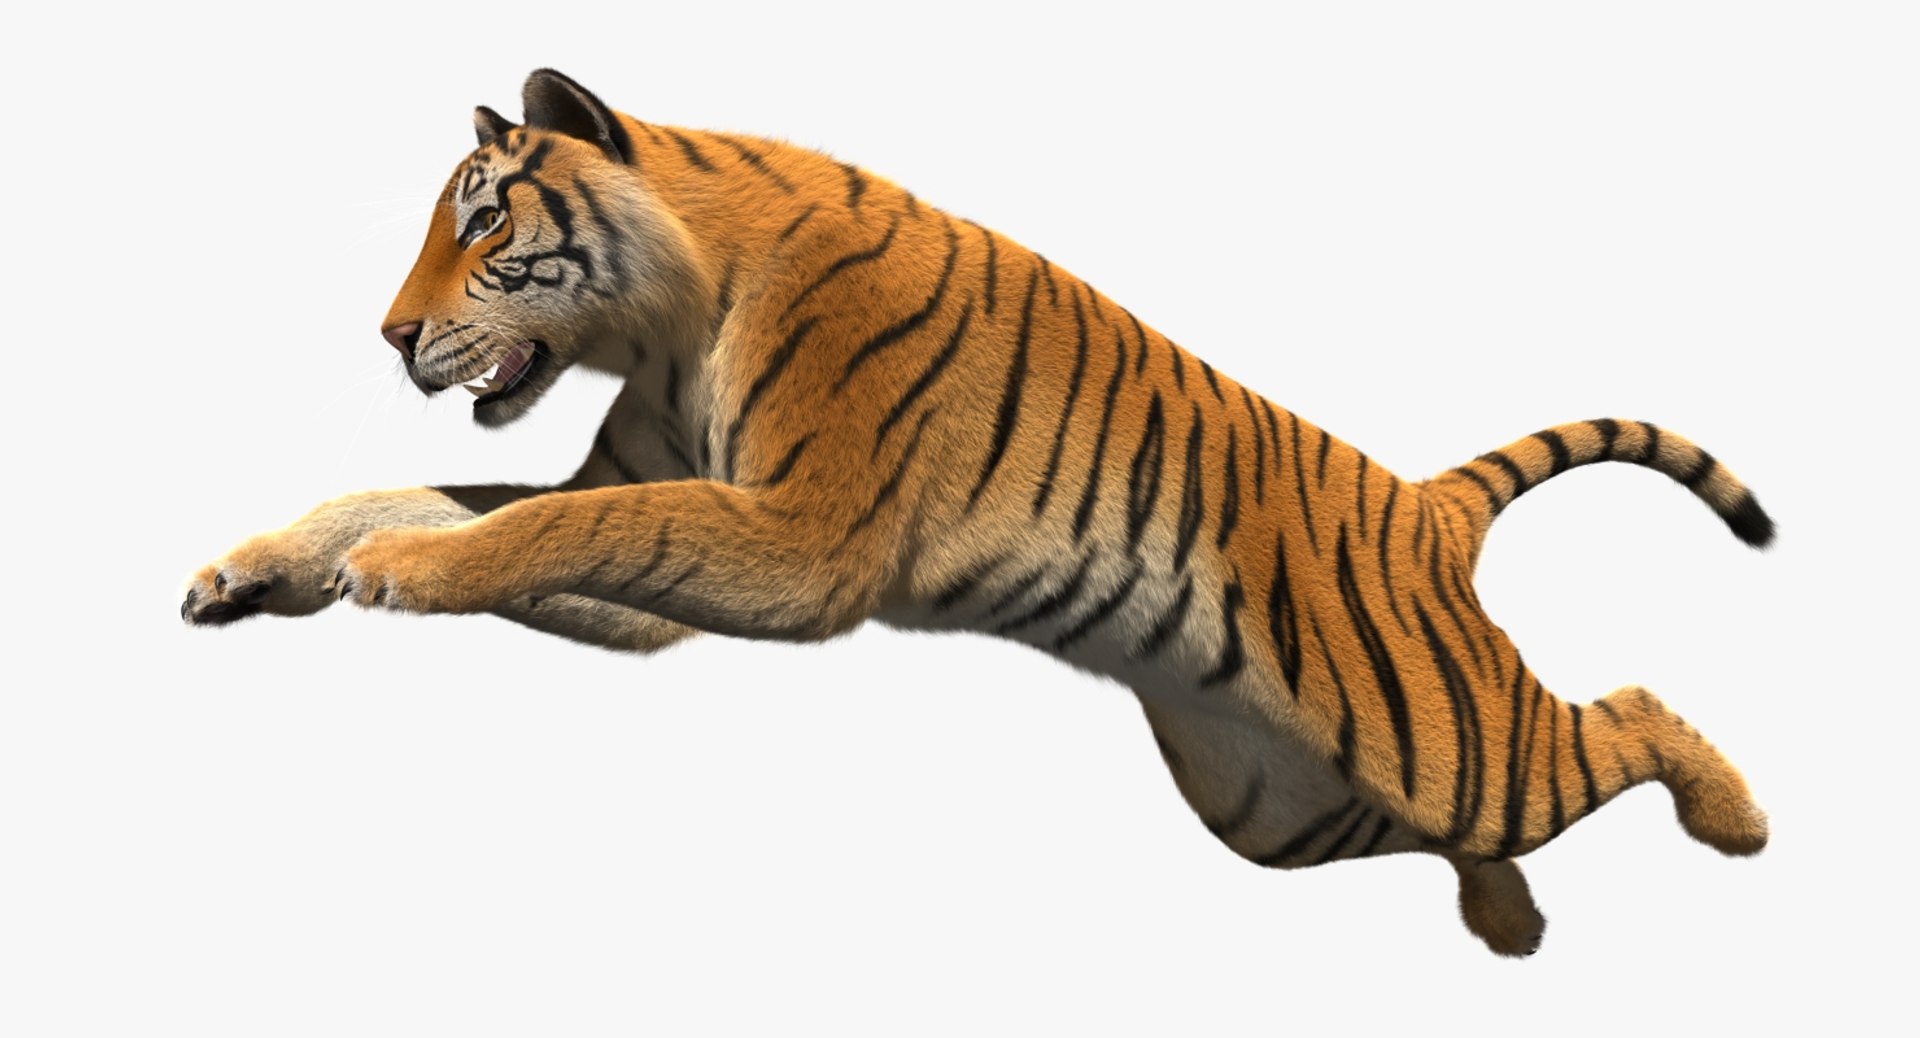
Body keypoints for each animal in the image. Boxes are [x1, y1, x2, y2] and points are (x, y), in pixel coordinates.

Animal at [181, 68, 1773, 956]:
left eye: (488, 219)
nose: (391, 337)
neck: (666, 323)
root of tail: (1423, 502)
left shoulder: (799, 541)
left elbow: (535, 530)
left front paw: (397, 568)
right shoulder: (645, 502)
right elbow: (453, 500)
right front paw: (254, 570)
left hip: (1451, 743)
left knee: (1625, 714)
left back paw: (1738, 822)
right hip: (1284, 804)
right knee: (1487, 818)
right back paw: (1511, 923)